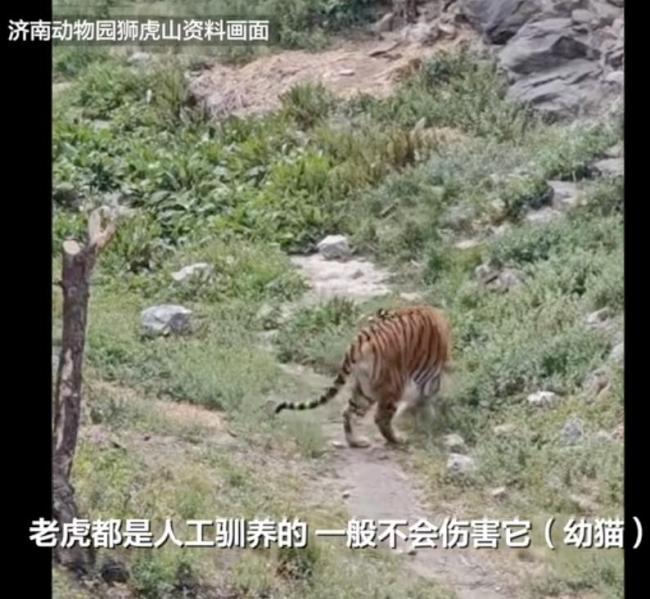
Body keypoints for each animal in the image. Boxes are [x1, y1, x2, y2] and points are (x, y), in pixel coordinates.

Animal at [274, 304, 452, 448]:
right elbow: (427, 396)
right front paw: (429, 417)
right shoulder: (430, 374)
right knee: (380, 418)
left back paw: (356, 442)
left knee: (347, 411)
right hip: (392, 386)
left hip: (364, 390)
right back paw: (397, 439)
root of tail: (360, 339)